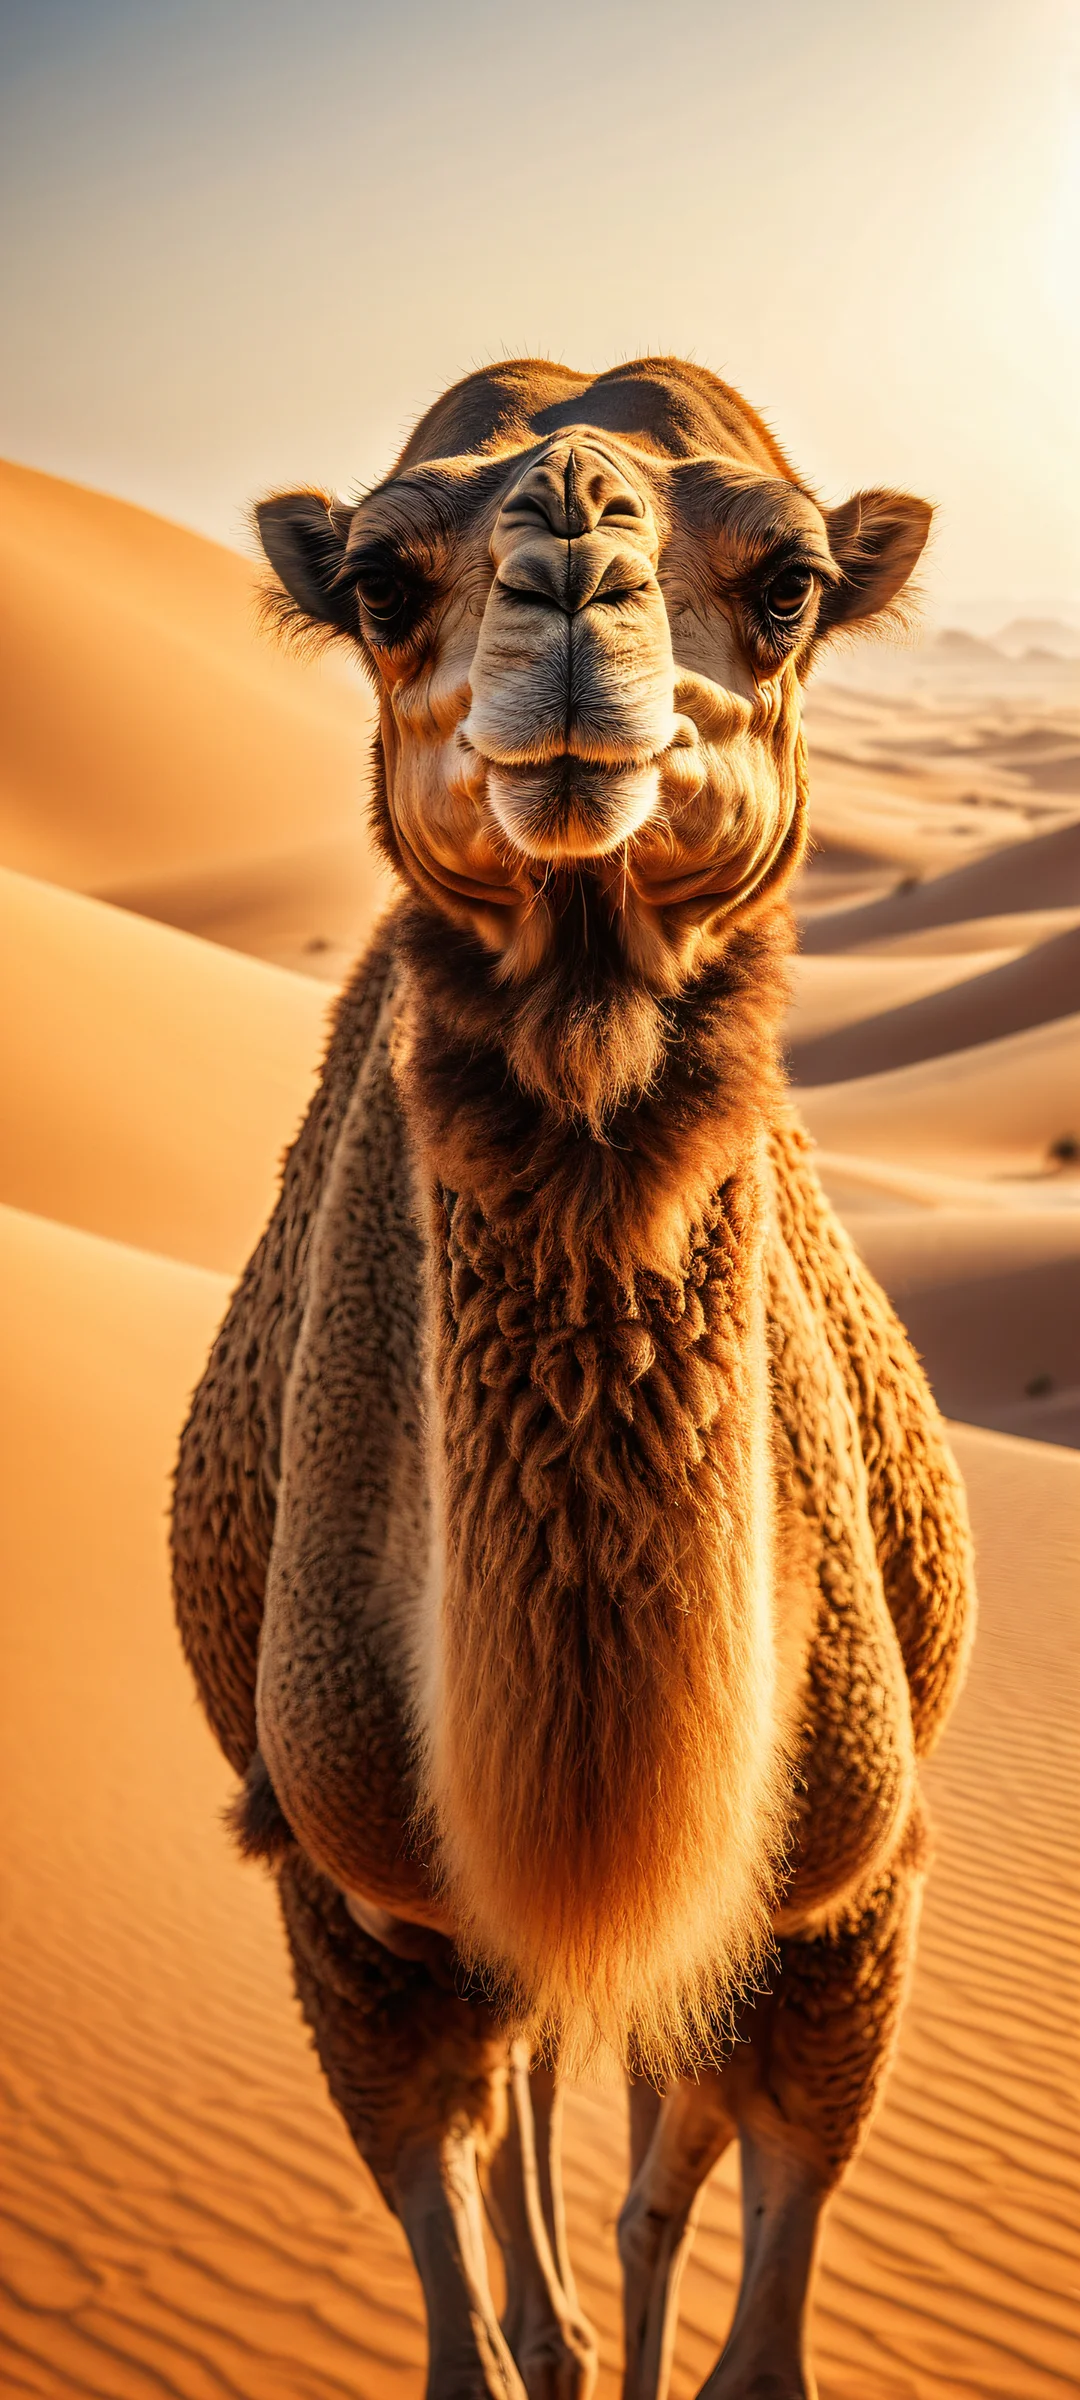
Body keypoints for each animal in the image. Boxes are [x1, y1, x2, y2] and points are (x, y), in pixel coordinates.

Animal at [171, 357, 976, 2400]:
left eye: (788, 584)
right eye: (381, 581)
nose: (571, 577)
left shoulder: (838, 1906)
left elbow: (741, 2286)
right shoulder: (343, 1897)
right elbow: (455, 2298)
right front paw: (526, 2332)